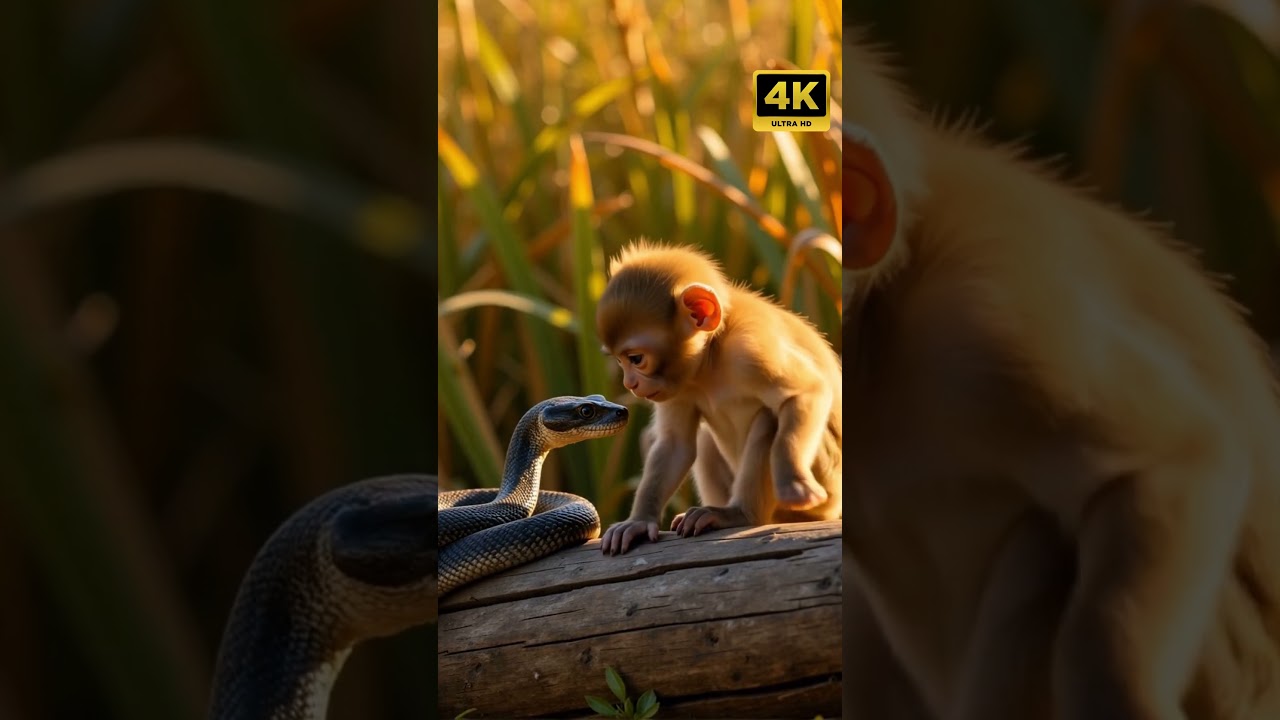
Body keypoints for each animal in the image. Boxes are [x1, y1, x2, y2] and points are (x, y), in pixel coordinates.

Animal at [594, 241, 842, 556]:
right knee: (704, 439)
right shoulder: (679, 386)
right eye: (619, 361)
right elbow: (676, 445)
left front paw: (794, 484)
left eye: (636, 359)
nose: (630, 383)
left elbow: (807, 391)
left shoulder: (751, 350)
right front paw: (638, 521)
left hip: (828, 483)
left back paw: (740, 515)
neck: (711, 358)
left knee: (769, 418)